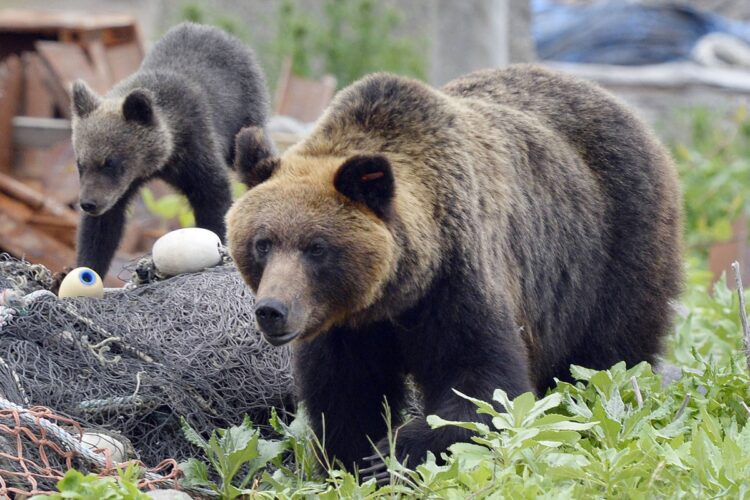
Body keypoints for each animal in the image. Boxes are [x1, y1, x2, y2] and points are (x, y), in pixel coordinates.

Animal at [226, 65, 684, 476]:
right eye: (263, 243)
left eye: (316, 248)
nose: (272, 310)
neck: (396, 293)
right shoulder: (347, 325)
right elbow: (345, 395)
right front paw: (354, 460)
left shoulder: (458, 280)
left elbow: (483, 385)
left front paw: (392, 454)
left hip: (614, 245)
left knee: (607, 358)